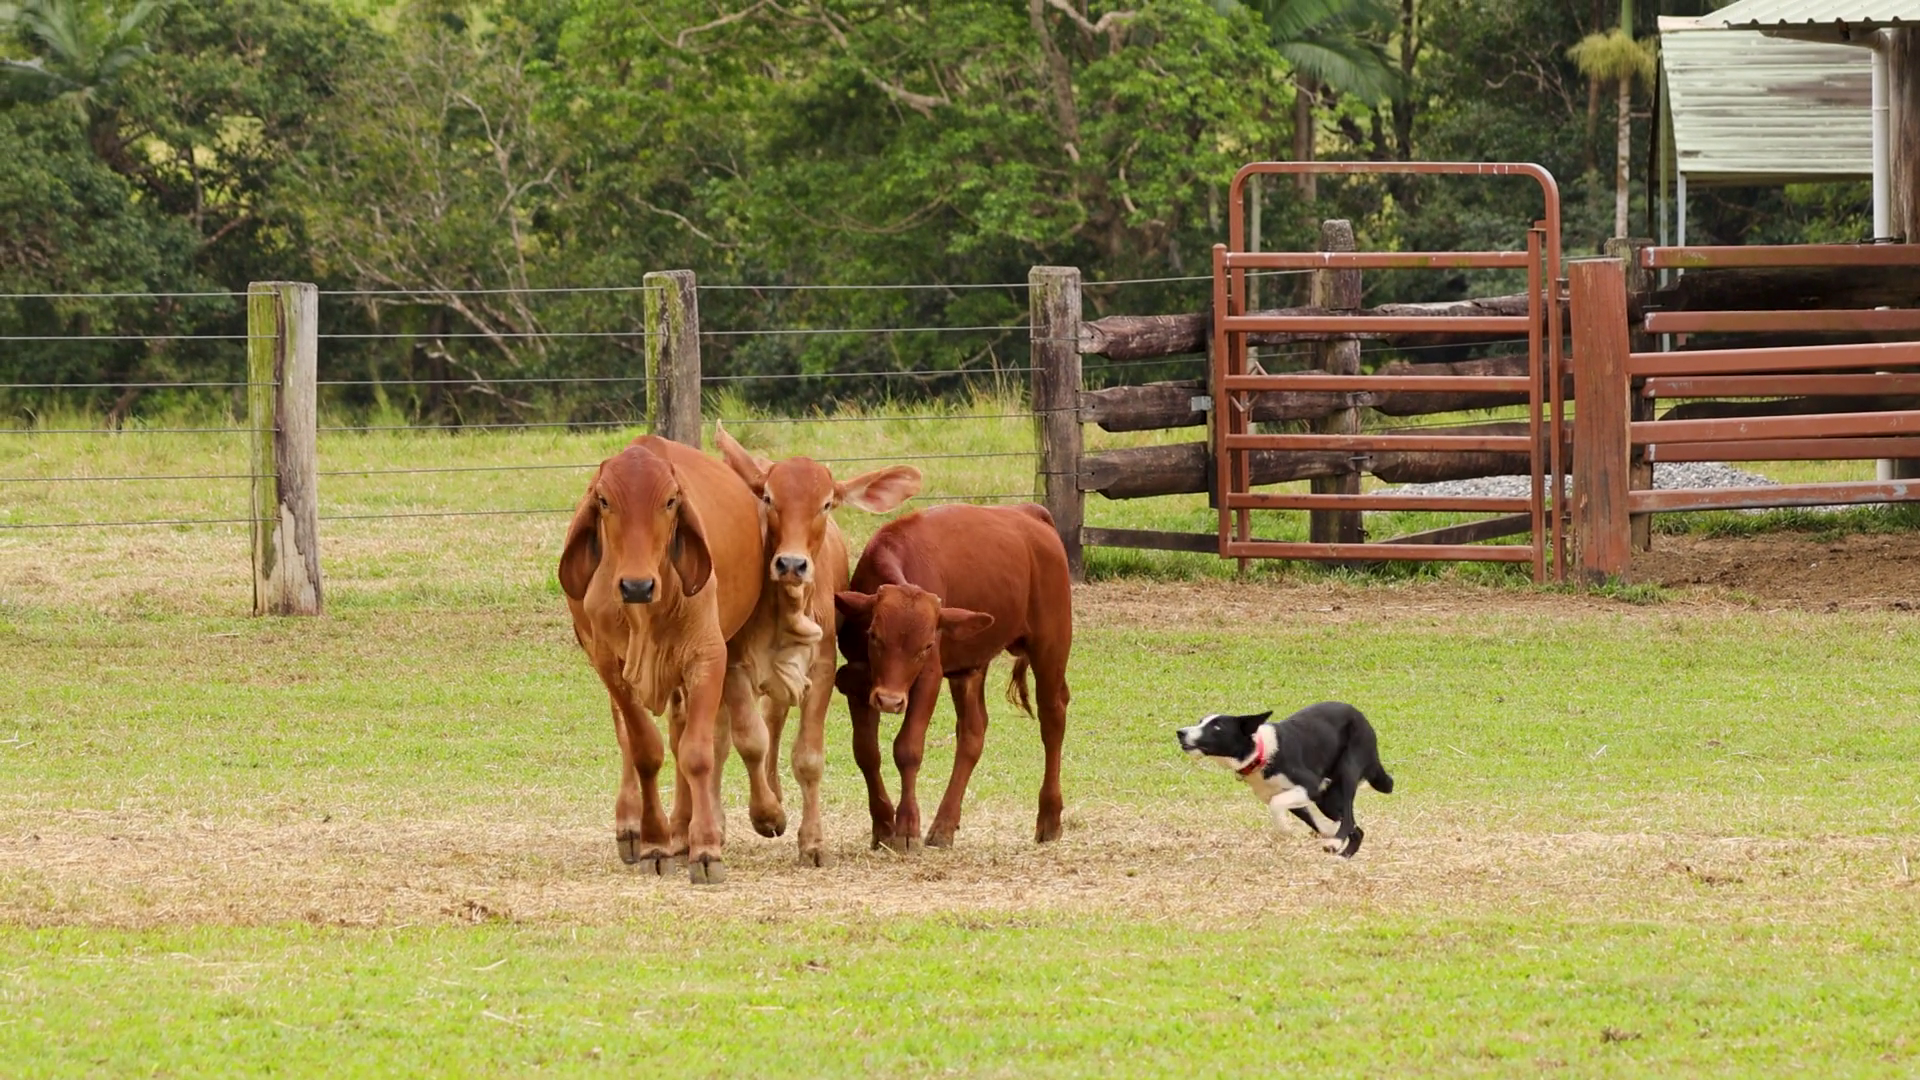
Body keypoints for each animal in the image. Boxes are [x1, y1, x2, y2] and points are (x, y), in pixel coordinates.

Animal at [557, 436, 786, 885]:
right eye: (604, 500)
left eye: (670, 501)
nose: (636, 585)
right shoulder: (609, 664)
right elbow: (644, 749)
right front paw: (655, 843)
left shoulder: (708, 657)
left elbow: (696, 752)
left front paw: (706, 849)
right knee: (631, 737)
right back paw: (641, 829)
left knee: (688, 738)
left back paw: (693, 829)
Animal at [714, 423, 921, 867]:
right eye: (769, 498)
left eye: (826, 504)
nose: (791, 564)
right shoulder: (734, 668)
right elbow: (749, 742)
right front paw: (766, 814)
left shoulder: (822, 671)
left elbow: (807, 757)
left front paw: (811, 842)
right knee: (722, 740)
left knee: (773, 721)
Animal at [832, 503, 1072, 852]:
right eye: (873, 635)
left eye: (927, 646)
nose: (890, 701)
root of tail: (1028, 512)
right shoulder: (858, 682)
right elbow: (866, 752)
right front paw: (883, 825)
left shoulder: (928, 679)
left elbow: (907, 749)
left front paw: (907, 828)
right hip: (969, 667)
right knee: (973, 731)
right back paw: (944, 825)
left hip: (1051, 647)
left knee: (1053, 719)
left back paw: (1050, 818)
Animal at [1175, 702, 1394, 858]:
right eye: (1200, 721)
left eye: (1217, 727)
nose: (1181, 732)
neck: (1260, 753)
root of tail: (1363, 719)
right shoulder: (1295, 796)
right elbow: (1311, 820)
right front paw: (1326, 830)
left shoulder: (1310, 786)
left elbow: (1276, 805)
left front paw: (1287, 830)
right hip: (1328, 800)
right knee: (1356, 828)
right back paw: (1343, 854)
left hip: (1347, 769)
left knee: (1348, 817)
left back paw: (1336, 843)